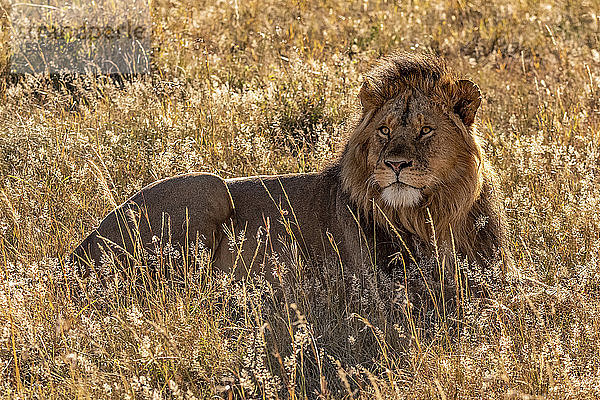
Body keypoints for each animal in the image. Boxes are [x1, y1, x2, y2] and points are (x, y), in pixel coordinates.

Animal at [71, 52, 510, 288]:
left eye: (425, 130)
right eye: (384, 130)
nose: (395, 165)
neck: (429, 213)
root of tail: (76, 252)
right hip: (208, 187)